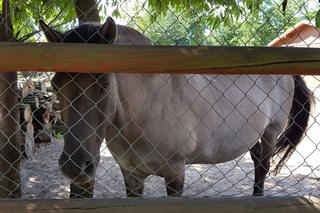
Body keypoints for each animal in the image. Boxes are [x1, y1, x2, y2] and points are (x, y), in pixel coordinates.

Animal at [38, 17, 314, 198]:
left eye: (104, 84)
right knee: (257, 161)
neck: (149, 105)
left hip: (270, 132)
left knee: (263, 167)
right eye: (56, 84)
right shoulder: (131, 175)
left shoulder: (175, 173)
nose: (74, 166)